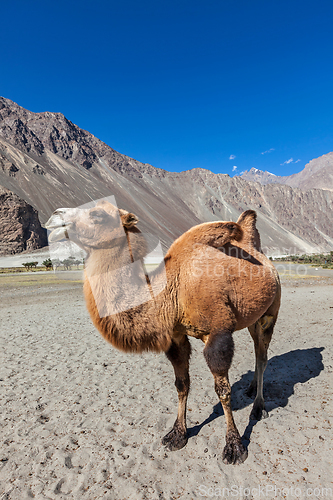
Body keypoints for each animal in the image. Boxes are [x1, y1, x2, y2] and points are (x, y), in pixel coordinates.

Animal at [46, 200, 280, 464]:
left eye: (97, 214)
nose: (54, 216)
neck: (171, 291)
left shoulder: (218, 333)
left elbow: (223, 391)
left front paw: (234, 446)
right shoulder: (175, 336)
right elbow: (181, 384)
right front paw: (177, 434)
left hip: (270, 312)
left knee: (262, 355)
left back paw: (259, 407)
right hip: (252, 317)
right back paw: (250, 389)